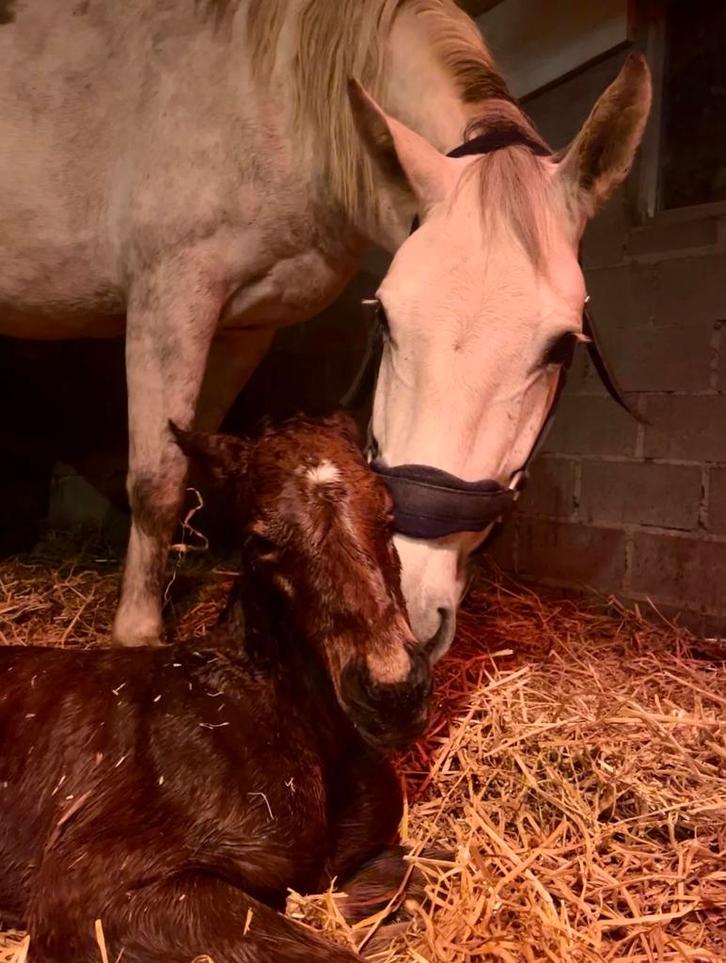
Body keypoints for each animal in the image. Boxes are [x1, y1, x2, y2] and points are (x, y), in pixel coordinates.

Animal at [0, 1, 651, 652]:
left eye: (561, 346)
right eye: (384, 318)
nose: (410, 605)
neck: (278, 108)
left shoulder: (241, 330)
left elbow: (190, 452)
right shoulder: (170, 294)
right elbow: (156, 479)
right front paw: (137, 630)